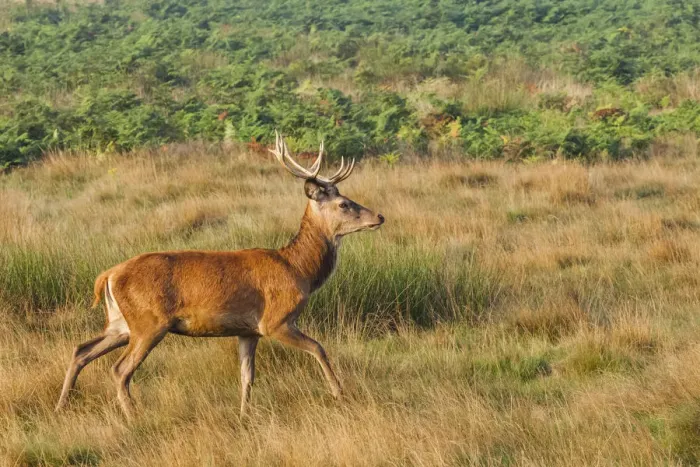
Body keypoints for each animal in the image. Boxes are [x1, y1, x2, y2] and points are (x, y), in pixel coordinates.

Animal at [55, 131, 385, 419]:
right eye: (344, 204)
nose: (379, 216)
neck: (298, 269)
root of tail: (108, 275)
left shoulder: (248, 330)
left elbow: (246, 376)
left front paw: (244, 414)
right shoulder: (275, 320)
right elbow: (319, 348)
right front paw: (339, 393)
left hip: (120, 323)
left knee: (81, 350)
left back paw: (62, 405)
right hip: (148, 322)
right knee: (119, 369)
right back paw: (134, 416)